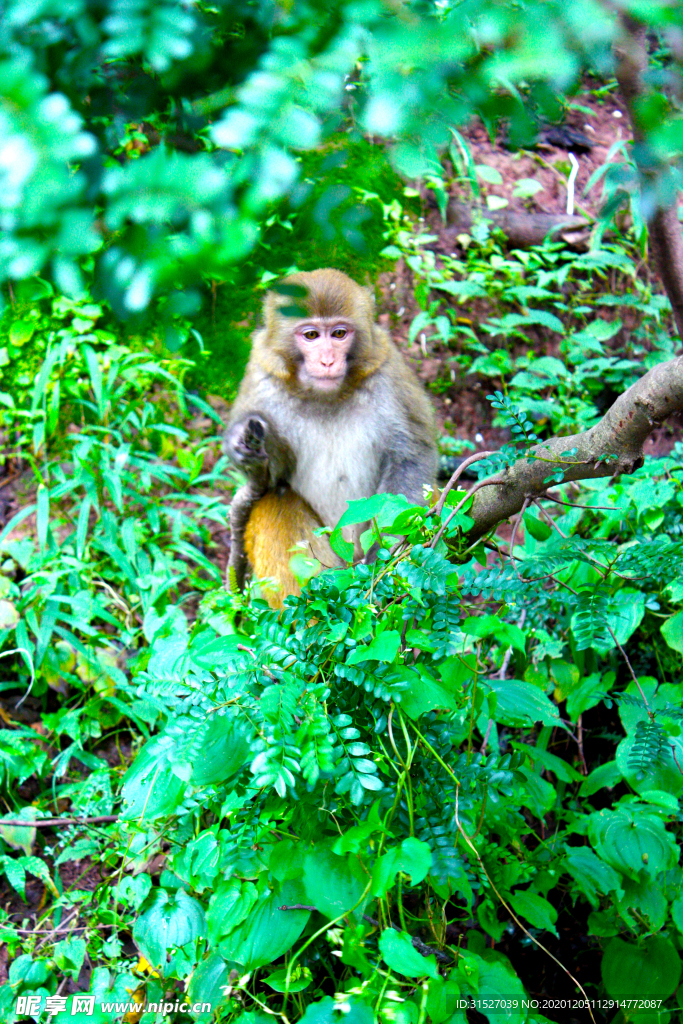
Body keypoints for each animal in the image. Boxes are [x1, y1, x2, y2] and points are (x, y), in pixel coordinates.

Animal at [224, 268, 438, 606]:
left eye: (339, 334)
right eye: (311, 335)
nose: (327, 361)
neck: (325, 397)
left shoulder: (388, 372)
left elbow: (412, 458)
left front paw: (386, 558)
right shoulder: (262, 378)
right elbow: (269, 479)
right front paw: (239, 442)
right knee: (276, 501)